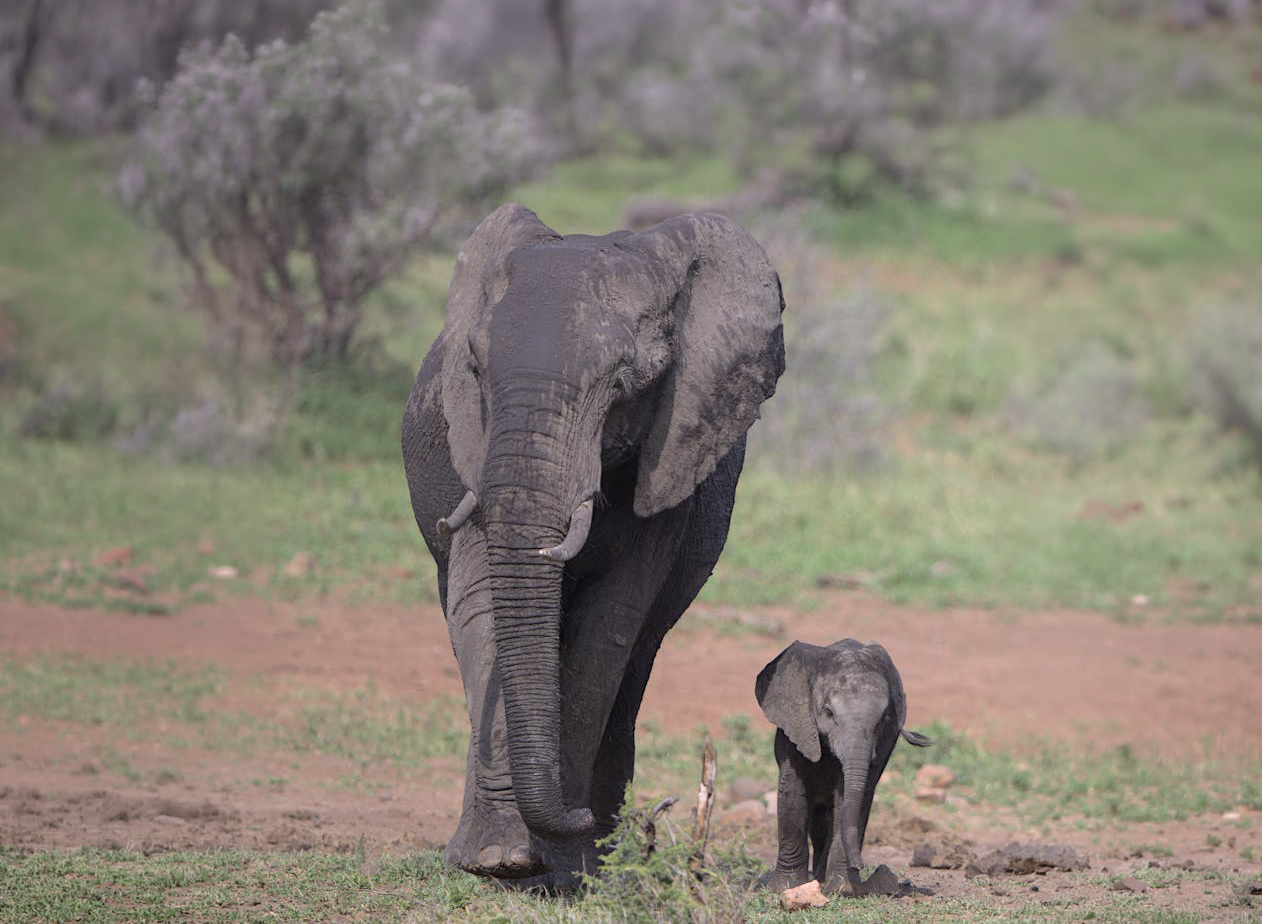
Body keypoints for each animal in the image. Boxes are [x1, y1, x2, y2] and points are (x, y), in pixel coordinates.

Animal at [401, 203, 785, 883]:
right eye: (473, 371)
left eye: (628, 382)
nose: (660, 815)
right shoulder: (471, 458)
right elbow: (483, 607)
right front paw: (498, 861)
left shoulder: (667, 469)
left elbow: (605, 630)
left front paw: (567, 863)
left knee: (634, 663)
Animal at [755, 639, 931, 895]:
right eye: (828, 712)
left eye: (883, 719)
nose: (860, 865)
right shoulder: (796, 727)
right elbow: (793, 794)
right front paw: (784, 888)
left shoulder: (884, 741)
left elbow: (851, 799)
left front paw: (842, 890)